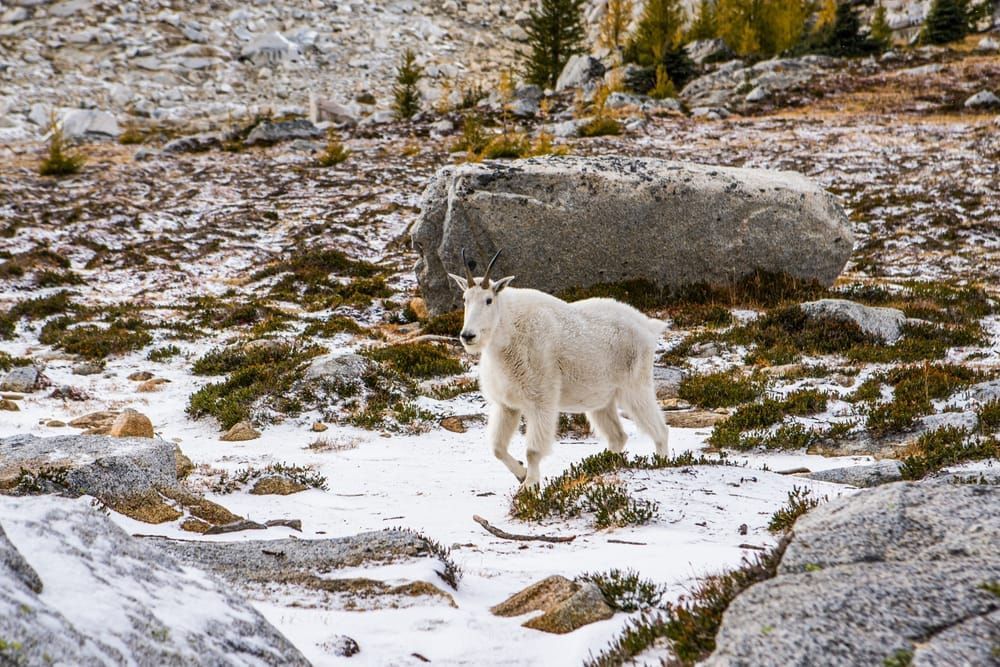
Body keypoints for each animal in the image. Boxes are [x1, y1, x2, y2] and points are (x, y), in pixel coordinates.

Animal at [449, 250, 670, 489]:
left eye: (488, 300)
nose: (468, 335)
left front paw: (529, 486)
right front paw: (521, 475)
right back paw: (599, 466)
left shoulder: (541, 399)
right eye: (464, 299)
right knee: (618, 436)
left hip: (635, 386)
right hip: (602, 400)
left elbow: (533, 451)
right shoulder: (506, 405)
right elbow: (498, 448)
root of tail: (648, 327)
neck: (507, 334)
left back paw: (662, 463)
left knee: (660, 430)